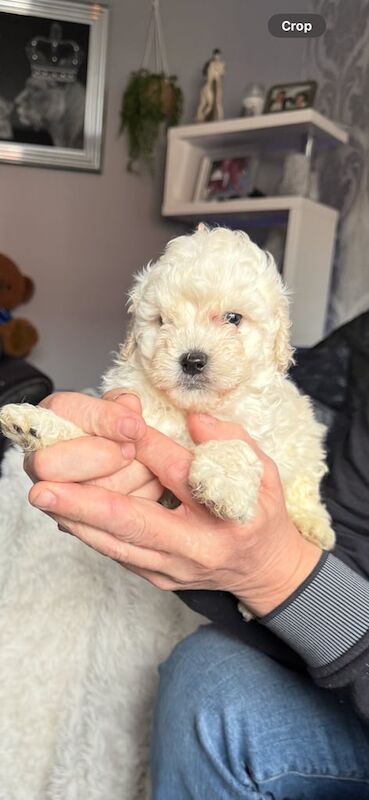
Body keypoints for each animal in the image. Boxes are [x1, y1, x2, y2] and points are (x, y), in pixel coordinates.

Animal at [0, 225, 334, 600]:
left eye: (233, 318)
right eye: (162, 321)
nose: (192, 360)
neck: (190, 406)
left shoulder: (260, 430)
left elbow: (236, 445)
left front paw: (225, 485)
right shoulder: (138, 418)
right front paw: (37, 424)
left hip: (307, 440)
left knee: (306, 487)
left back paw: (313, 526)